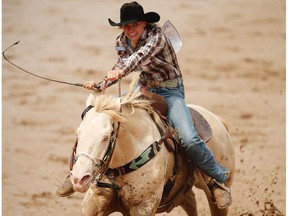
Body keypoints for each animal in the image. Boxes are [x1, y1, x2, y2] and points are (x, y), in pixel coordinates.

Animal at [70, 84, 234, 214]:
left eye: (106, 137)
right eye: (78, 133)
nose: (79, 178)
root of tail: (219, 121)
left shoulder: (143, 206)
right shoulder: (94, 201)